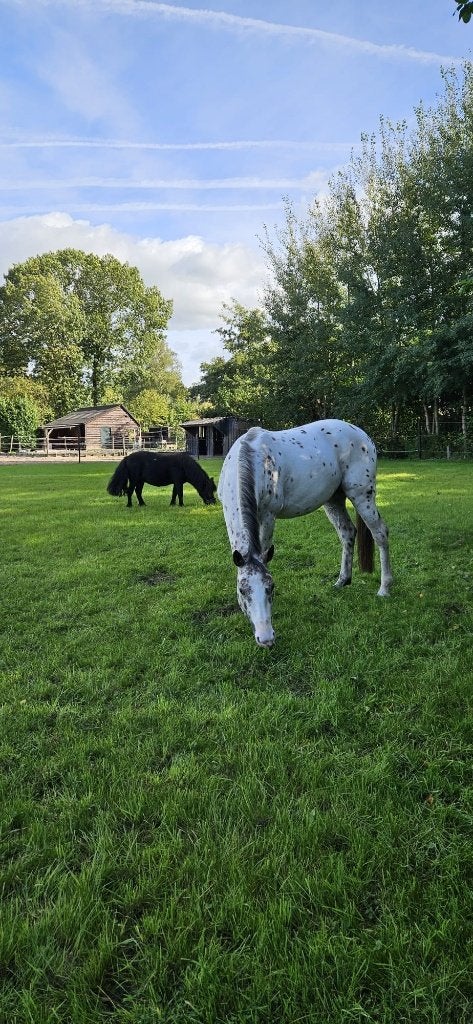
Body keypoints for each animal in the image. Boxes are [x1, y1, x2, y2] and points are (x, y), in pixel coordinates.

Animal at [217, 419, 393, 647]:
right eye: (242, 591)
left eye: (270, 587)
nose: (266, 638)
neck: (252, 457)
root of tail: (363, 436)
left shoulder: (268, 515)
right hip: (334, 499)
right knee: (347, 532)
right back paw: (342, 581)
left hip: (362, 495)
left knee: (380, 533)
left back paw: (384, 588)